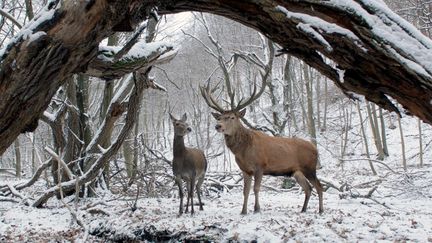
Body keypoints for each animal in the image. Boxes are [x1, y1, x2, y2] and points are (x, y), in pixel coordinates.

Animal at [201, 85, 322, 215]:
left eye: (232, 117)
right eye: (219, 117)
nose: (218, 126)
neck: (243, 150)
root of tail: (315, 148)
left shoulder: (260, 166)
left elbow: (256, 188)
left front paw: (257, 209)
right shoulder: (245, 170)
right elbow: (245, 191)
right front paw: (243, 211)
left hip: (309, 168)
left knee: (319, 186)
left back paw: (320, 210)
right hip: (297, 172)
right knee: (308, 188)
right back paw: (303, 209)